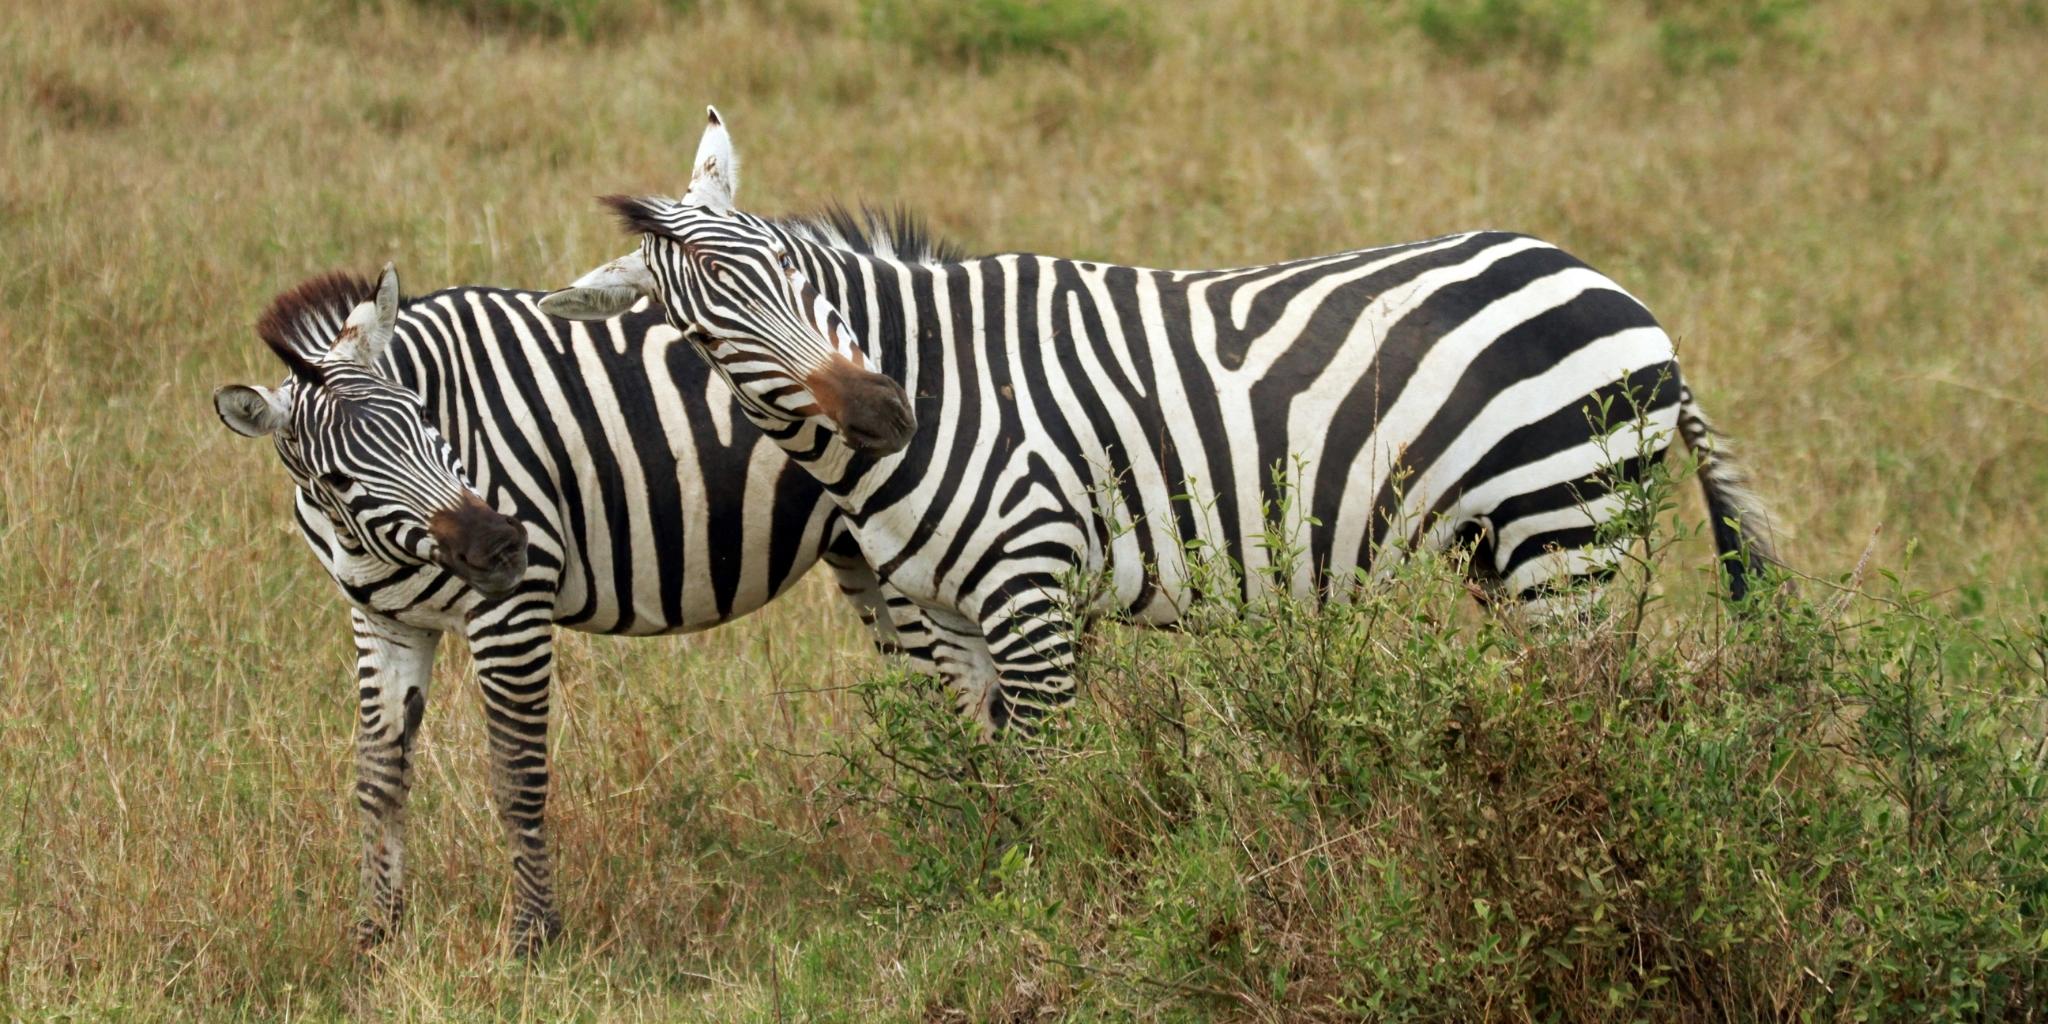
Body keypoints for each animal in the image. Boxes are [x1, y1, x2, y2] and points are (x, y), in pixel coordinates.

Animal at [211, 261, 950, 953]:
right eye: (336, 478)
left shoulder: (512, 613)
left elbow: (517, 778)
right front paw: (377, 937)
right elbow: (378, 779)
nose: (502, 544)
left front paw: (533, 938)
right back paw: (923, 834)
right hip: (859, 555)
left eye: (425, 421)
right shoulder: (384, 624)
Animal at [542, 107, 1778, 737]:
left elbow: (1045, 774)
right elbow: (983, 773)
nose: (888, 411)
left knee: (1595, 706)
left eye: (803, 278)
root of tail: (1617, 292)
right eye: (705, 333)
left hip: (1563, 526)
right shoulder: (946, 613)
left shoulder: (1031, 586)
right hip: (1508, 546)